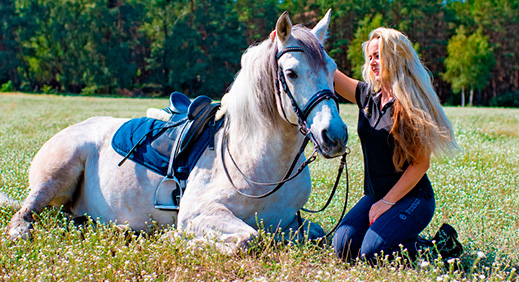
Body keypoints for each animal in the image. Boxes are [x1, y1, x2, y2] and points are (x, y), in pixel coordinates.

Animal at [3, 10, 350, 251]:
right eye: (291, 73)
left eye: (333, 71)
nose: (335, 136)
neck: (255, 159)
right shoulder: (199, 214)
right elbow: (248, 239)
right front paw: (175, 240)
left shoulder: (290, 221)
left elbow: (315, 233)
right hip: (58, 171)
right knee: (27, 211)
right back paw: (22, 231)